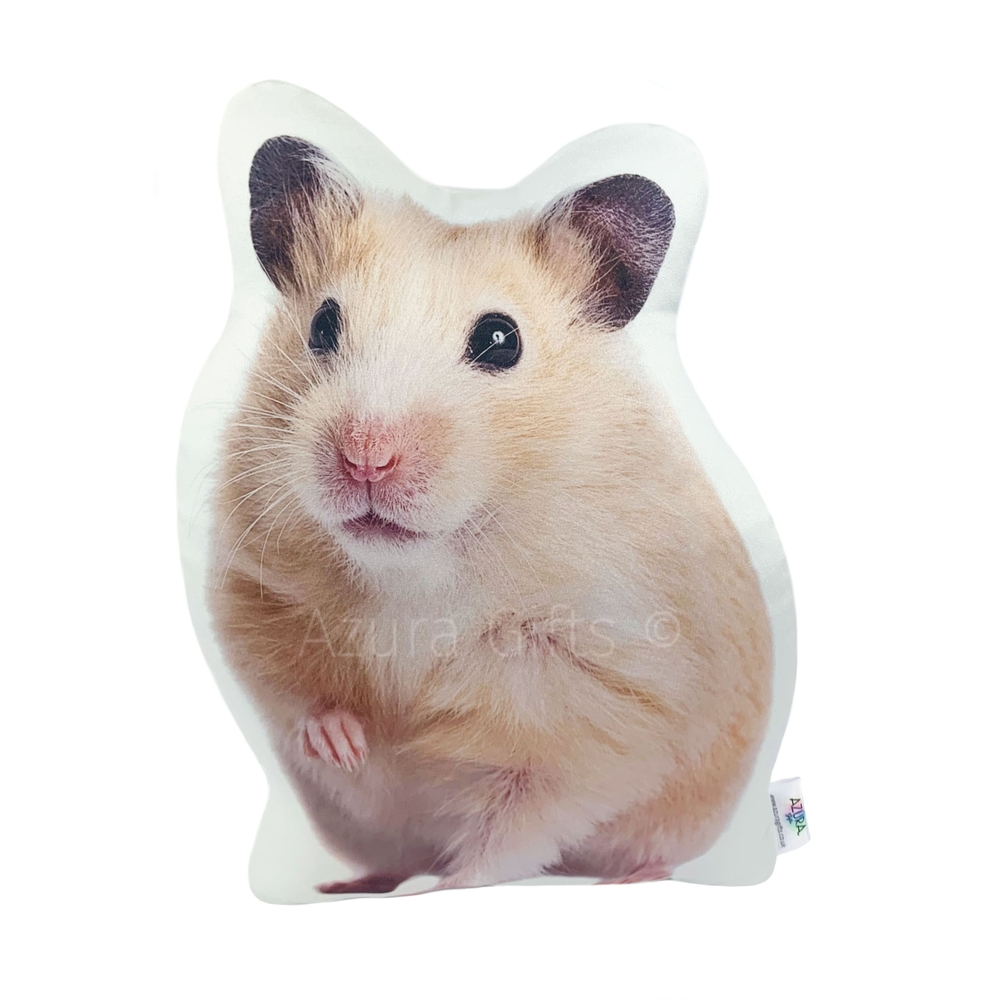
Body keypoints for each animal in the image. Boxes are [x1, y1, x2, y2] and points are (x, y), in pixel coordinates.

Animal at [209, 136, 772, 894]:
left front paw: (450, 888)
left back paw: (630, 879)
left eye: (501, 340)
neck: (417, 573)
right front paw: (346, 744)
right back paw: (349, 884)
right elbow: (294, 695)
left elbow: (520, 821)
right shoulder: (252, 591)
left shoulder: (605, 704)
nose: (365, 458)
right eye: (323, 325)